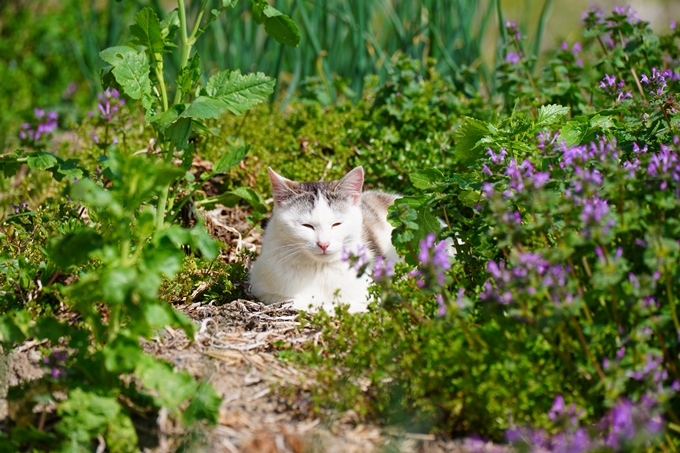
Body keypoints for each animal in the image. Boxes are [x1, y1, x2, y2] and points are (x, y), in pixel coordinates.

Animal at [248, 165, 398, 310]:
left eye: (337, 224)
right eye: (307, 225)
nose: (324, 244)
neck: (319, 268)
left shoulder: (369, 298)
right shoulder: (261, 289)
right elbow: (291, 301)